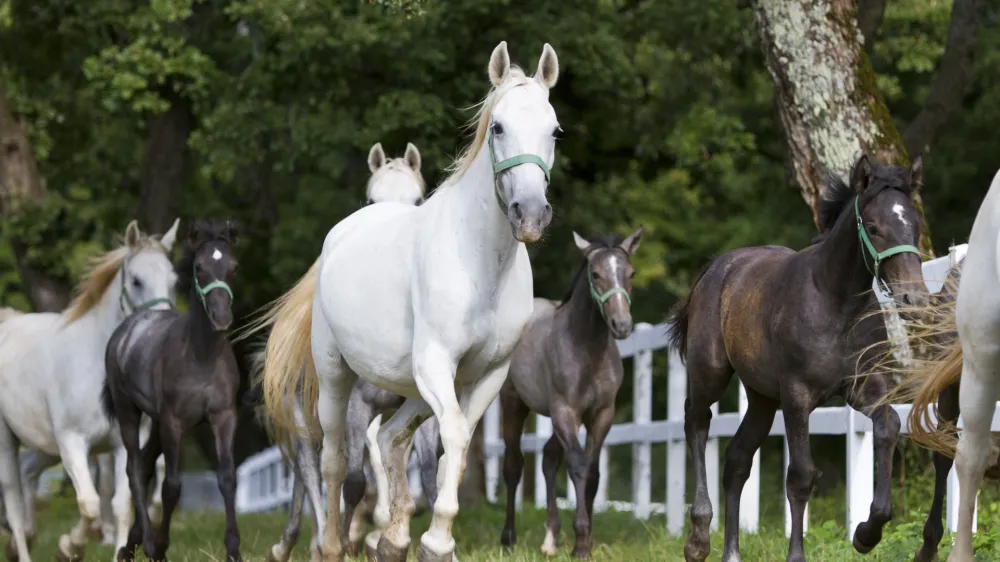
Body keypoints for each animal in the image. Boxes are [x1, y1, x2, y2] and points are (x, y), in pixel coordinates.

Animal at [0, 219, 179, 562]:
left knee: (27, 479)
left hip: (41, 446)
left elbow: (122, 504)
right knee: (13, 502)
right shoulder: (72, 443)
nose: (161, 330)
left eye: (174, 281)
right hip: (8, 443)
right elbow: (90, 504)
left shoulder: (125, 444)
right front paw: (68, 547)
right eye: (136, 281)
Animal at [102, 219, 242, 562]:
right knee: (134, 470)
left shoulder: (224, 416)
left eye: (233, 266)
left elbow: (227, 478)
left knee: (145, 465)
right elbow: (173, 486)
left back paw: (131, 544)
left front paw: (233, 550)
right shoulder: (173, 422)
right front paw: (160, 547)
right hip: (129, 412)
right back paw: (146, 545)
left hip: (154, 421)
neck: (201, 356)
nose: (221, 317)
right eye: (200, 267)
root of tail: (129, 327)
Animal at [255, 41, 561, 562]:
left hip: (413, 389)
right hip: (336, 378)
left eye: (554, 130)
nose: (531, 215)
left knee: (392, 439)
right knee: (334, 460)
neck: (481, 264)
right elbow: (452, 437)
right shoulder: (436, 363)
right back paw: (333, 544)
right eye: (498, 127)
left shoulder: (488, 374)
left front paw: (429, 539)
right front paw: (436, 542)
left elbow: (453, 447)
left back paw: (392, 539)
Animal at [498, 228, 642, 558]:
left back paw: (550, 539)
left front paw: (586, 541)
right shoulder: (566, 411)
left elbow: (593, 472)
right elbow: (578, 466)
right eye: (596, 273)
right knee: (513, 465)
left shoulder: (600, 415)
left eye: (630, 273)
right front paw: (580, 542)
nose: (622, 325)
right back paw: (509, 538)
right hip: (514, 404)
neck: (586, 349)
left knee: (549, 459)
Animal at [667, 154, 927, 562]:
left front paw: (866, 534)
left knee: (737, 460)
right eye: (873, 227)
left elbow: (888, 427)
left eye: (915, 224)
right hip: (711, 374)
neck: (836, 304)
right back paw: (698, 540)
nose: (913, 297)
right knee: (696, 422)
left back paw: (731, 553)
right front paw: (797, 555)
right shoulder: (797, 395)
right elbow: (801, 476)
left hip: (761, 398)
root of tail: (715, 268)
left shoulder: (863, 387)